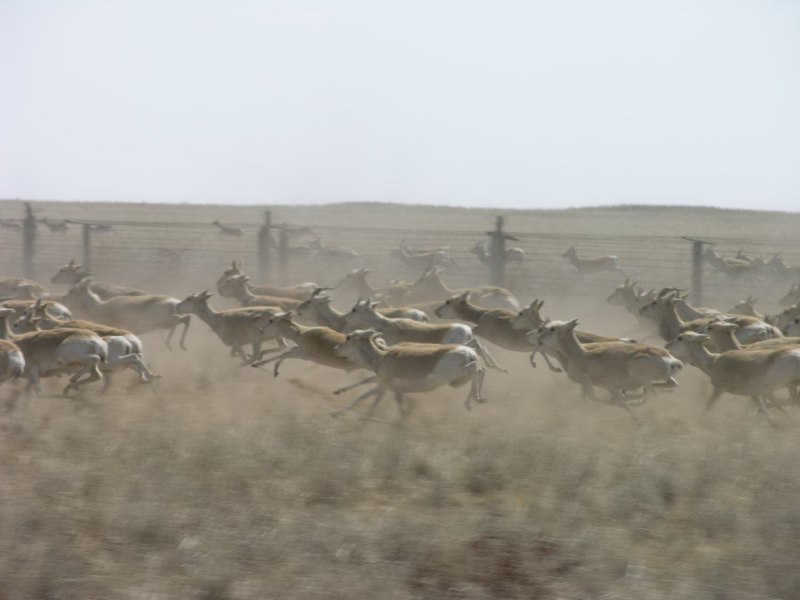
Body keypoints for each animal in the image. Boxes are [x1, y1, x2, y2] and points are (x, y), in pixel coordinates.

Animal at [62, 278, 191, 350]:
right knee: (186, 318)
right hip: (165, 323)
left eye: (71, 291)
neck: (98, 307)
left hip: (163, 321)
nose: (63, 300)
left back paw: (170, 345)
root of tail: (176, 303)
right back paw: (182, 346)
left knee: (179, 319)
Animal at [332, 328, 488, 418]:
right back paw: (477, 400)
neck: (381, 356)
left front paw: (339, 413)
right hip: (457, 381)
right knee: (481, 370)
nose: (336, 348)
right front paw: (337, 402)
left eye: (348, 337)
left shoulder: (384, 386)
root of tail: (469, 352)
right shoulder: (386, 386)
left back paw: (474, 400)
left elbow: (365, 396)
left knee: (475, 368)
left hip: (454, 376)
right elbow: (365, 393)